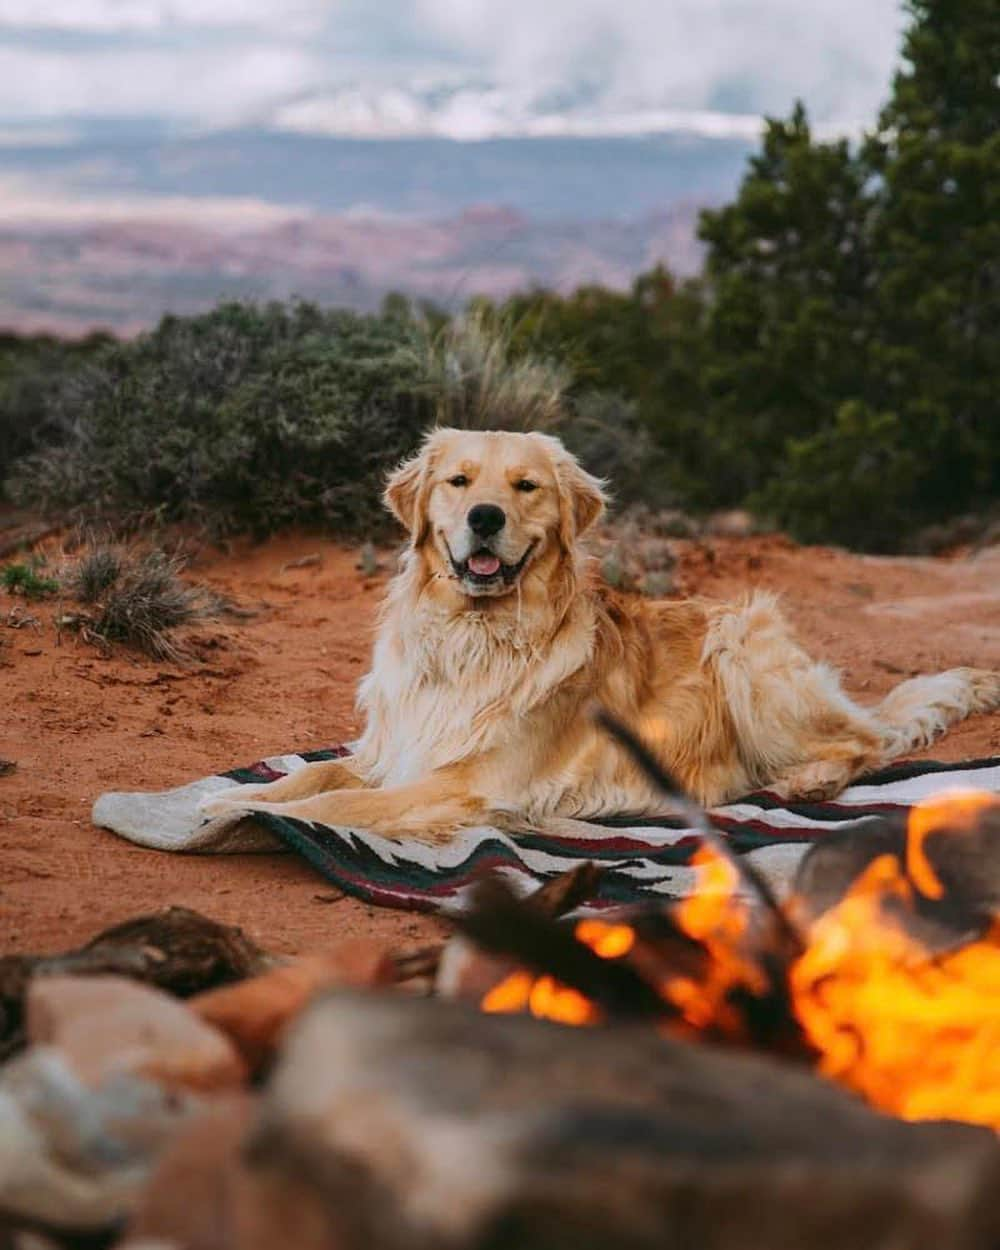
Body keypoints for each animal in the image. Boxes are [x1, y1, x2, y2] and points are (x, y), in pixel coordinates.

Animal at [201, 425, 1000, 845]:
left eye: (525, 487)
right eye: (459, 481)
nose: (485, 517)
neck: (471, 636)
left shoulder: (464, 785)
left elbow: (329, 807)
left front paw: (251, 813)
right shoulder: (390, 751)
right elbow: (311, 776)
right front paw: (225, 801)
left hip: (744, 648)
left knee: (869, 742)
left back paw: (809, 779)